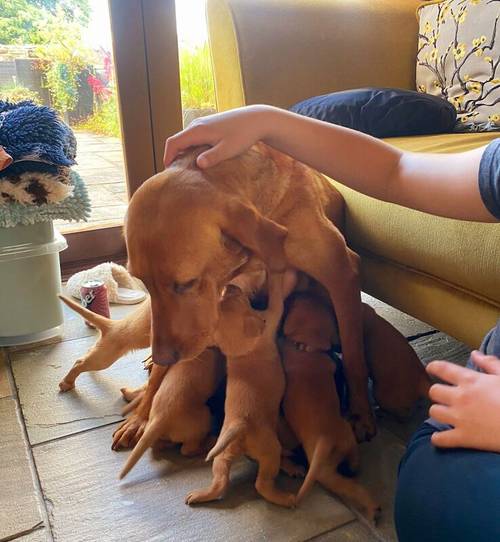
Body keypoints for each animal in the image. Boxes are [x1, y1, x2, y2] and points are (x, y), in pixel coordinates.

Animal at [125, 143, 376, 442]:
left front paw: (361, 411)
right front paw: (142, 414)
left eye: (186, 283)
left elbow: (354, 353)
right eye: (142, 282)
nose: (163, 355)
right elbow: (159, 375)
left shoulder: (342, 273)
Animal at [187, 276, 296, 510]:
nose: (230, 286)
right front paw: (278, 275)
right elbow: (278, 296)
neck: (240, 348)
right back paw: (285, 497)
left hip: (223, 454)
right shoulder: (270, 316)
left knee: (220, 481)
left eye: (223, 300)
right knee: (262, 484)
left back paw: (199, 495)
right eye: (240, 299)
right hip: (270, 449)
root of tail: (240, 425)